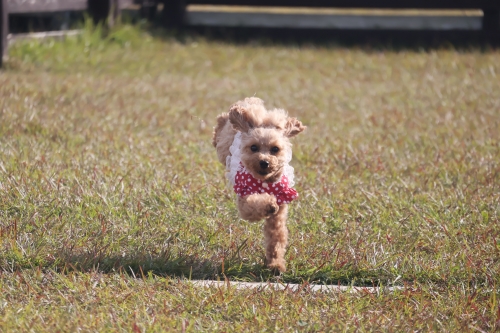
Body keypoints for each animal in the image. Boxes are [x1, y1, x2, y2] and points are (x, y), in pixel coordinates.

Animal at [211, 96, 304, 272]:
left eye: (275, 149)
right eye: (253, 147)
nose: (264, 162)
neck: (264, 183)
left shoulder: (281, 204)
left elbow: (276, 238)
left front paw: (275, 265)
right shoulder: (245, 197)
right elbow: (255, 205)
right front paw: (268, 205)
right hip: (225, 143)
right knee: (222, 122)